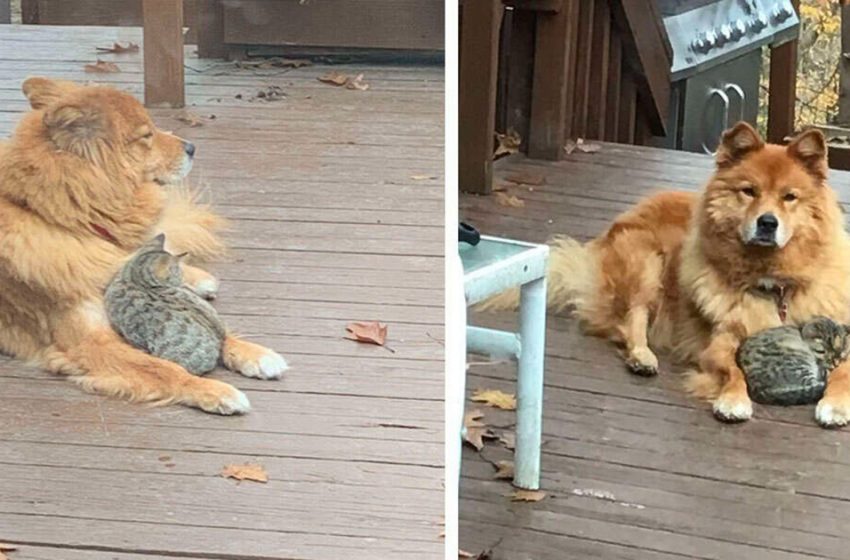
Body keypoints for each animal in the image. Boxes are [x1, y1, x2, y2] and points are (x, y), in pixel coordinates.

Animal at [486, 122, 850, 426]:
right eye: (749, 191)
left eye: (790, 197)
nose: (767, 223)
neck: (772, 282)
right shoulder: (719, 343)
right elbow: (733, 370)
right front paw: (733, 400)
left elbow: (843, 370)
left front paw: (835, 404)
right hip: (647, 263)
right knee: (629, 320)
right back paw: (642, 357)